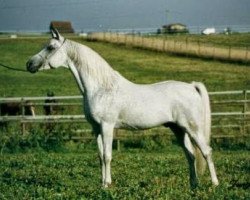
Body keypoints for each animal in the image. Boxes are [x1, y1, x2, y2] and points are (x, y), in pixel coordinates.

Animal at [26, 28, 218, 188]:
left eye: (50, 47)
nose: (29, 64)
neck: (101, 87)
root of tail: (191, 86)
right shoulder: (96, 129)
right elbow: (100, 156)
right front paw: (102, 184)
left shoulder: (107, 126)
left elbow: (107, 156)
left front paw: (106, 185)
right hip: (178, 129)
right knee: (191, 155)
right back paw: (193, 185)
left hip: (193, 128)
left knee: (206, 152)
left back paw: (214, 184)